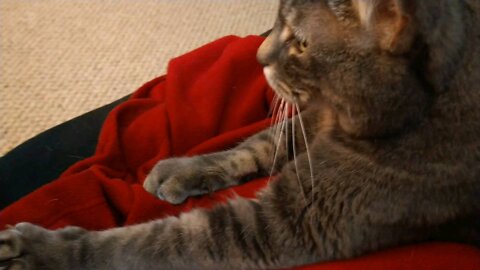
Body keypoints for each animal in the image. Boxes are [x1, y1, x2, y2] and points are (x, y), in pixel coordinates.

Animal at [0, 0, 480, 268]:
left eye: (301, 42)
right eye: (275, 21)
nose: (258, 56)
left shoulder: (287, 223)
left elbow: (149, 244)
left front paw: (37, 251)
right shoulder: (310, 120)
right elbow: (256, 146)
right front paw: (181, 171)